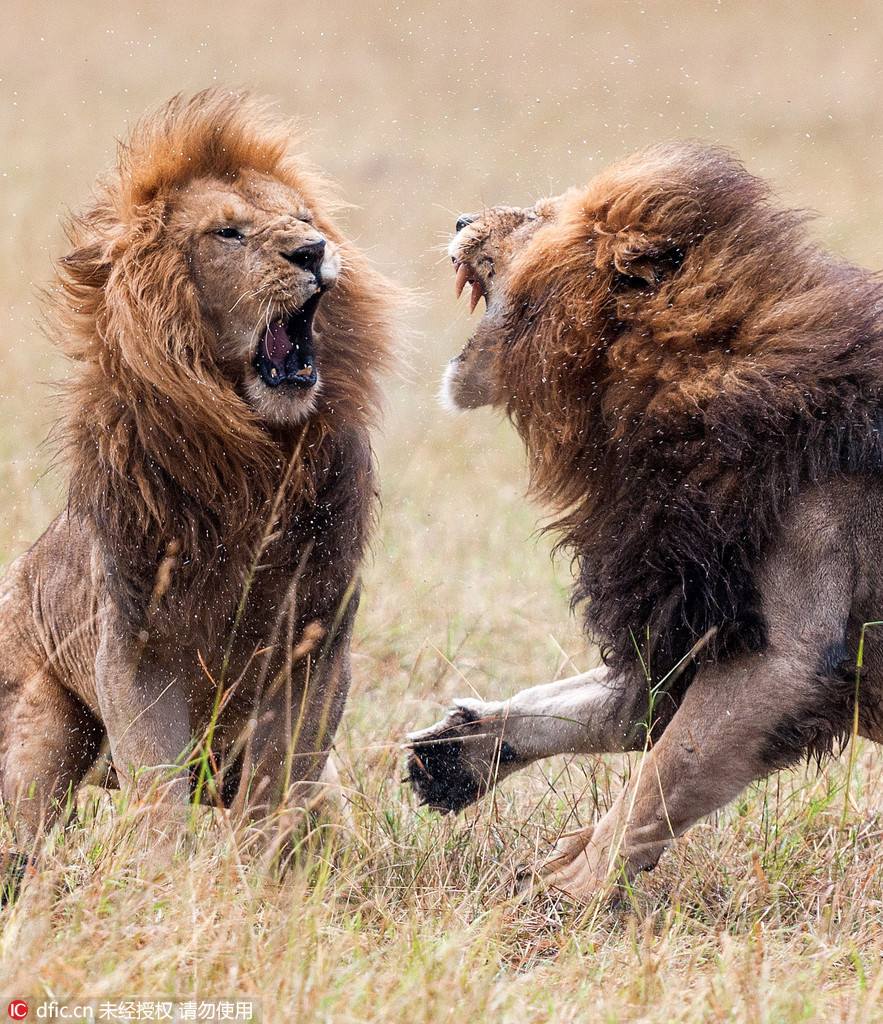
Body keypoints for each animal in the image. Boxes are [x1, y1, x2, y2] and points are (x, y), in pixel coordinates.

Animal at [0, 90, 401, 856]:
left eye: (306, 221)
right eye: (229, 234)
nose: (313, 252)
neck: (255, 464)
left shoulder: (315, 647)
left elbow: (280, 786)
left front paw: (259, 873)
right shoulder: (136, 652)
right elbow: (158, 793)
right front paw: (167, 877)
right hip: (42, 731)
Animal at [409, 140, 883, 901]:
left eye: (539, 216)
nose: (458, 218)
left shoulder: (784, 658)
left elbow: (660, 777)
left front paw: (569, 893)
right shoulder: (680, 611)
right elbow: (583, 708)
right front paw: (462, 750)